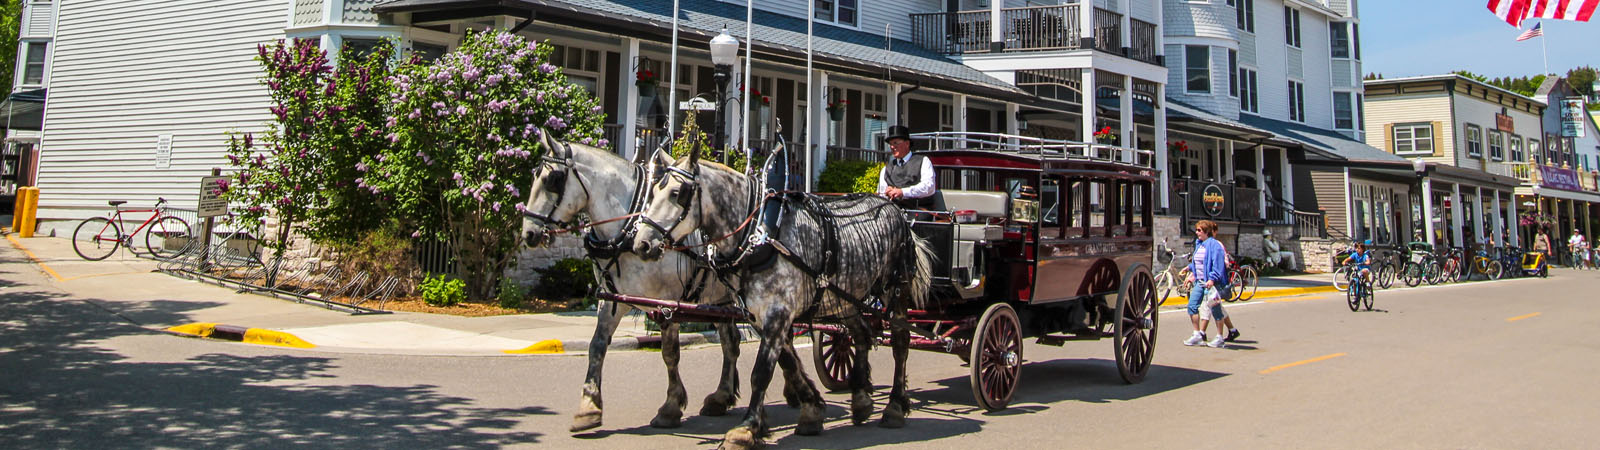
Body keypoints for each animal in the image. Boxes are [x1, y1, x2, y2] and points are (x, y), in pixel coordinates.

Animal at [630, 146, 934, 445]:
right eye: (653, 191)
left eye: (676, 193)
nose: (641, 243)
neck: (759, 234)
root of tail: (894, 208)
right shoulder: (760, 315)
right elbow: (787, 361)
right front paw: (811, 409)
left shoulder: (778, 312)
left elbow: (762, 371)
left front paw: (746, 429)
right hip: (845, 297)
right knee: (860, 335)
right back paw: (860, 400)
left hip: (895, 290)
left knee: (900, 342)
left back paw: (894, 406)